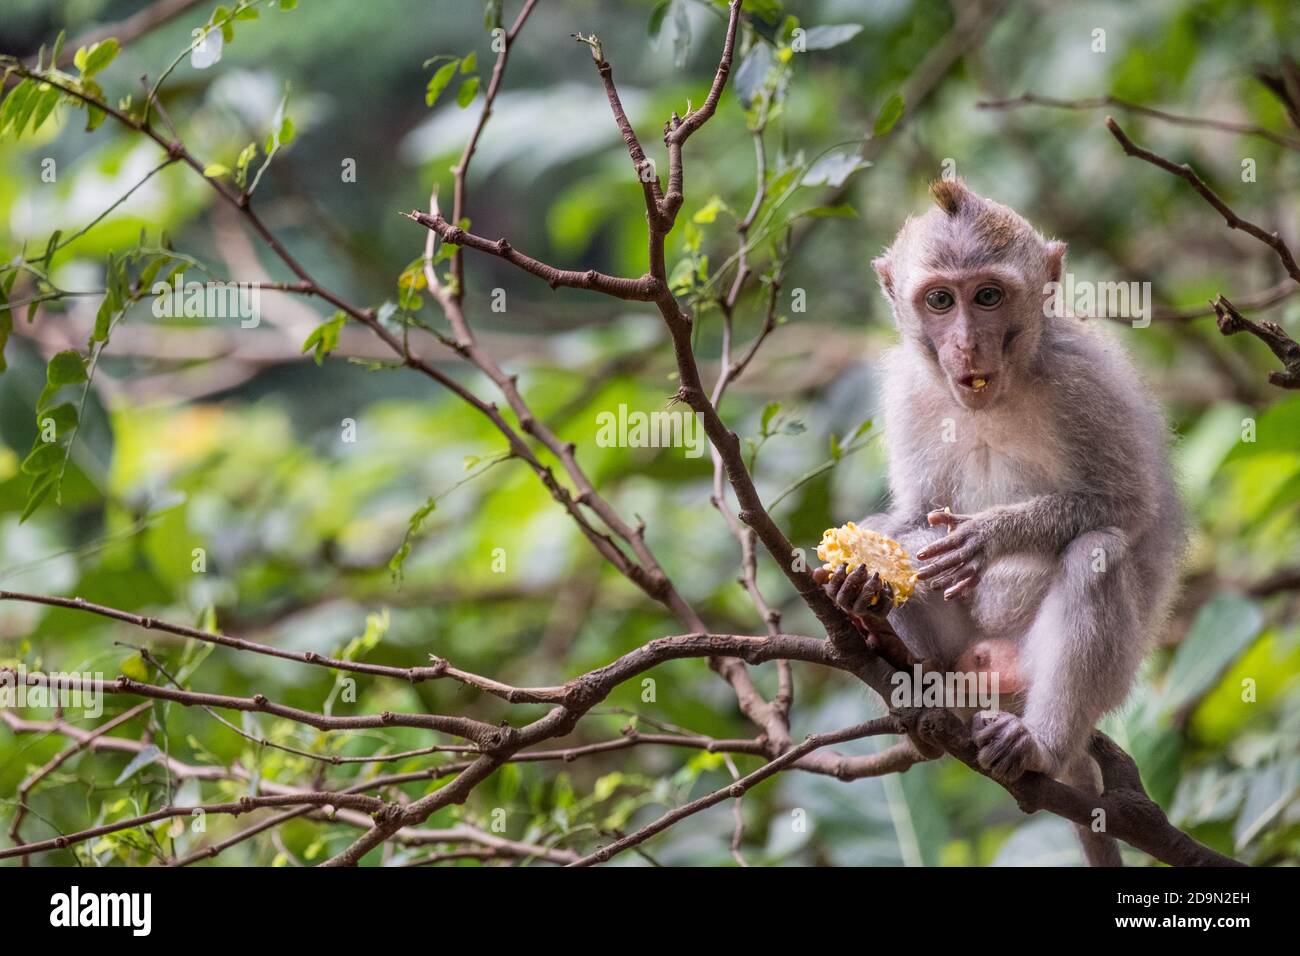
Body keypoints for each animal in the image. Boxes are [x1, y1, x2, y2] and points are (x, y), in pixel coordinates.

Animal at [816, 179, 1185, 868]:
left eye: (988, 296)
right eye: (940, 300)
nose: (966, 344)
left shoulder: (1084, 376)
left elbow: (1127, 504)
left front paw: (991, 536)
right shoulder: (909, 390)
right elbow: (907, 519)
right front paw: (864, 581)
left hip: (1075, 678)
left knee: (1096, 552)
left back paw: (1038, 745)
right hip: (963, 664)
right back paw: (895, 659)